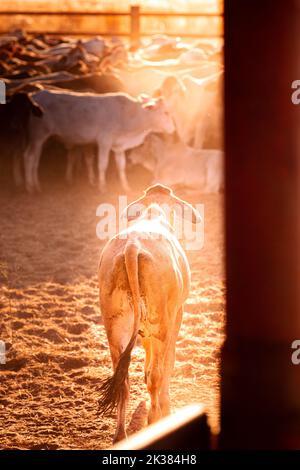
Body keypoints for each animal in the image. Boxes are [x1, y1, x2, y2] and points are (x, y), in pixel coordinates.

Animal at [24, 90, 176, 193]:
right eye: (166, 112)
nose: (173, 130)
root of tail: (36, 95)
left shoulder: (119, 146)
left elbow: (121, 166)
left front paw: (126, 187)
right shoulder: (104, 141)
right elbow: (102, 164)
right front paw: (102, 187)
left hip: (39, 138)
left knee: (33, 157)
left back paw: (34, 185)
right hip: (39, 135)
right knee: (30, 157)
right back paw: (32, 187)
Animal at [98, 185, 200, 444]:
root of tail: (132, 248)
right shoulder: (176, 316)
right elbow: (168, 362)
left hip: (115, 326)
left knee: (122, 378)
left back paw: (120, 435)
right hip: (161, 322)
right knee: (156, 373)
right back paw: (155, 420)